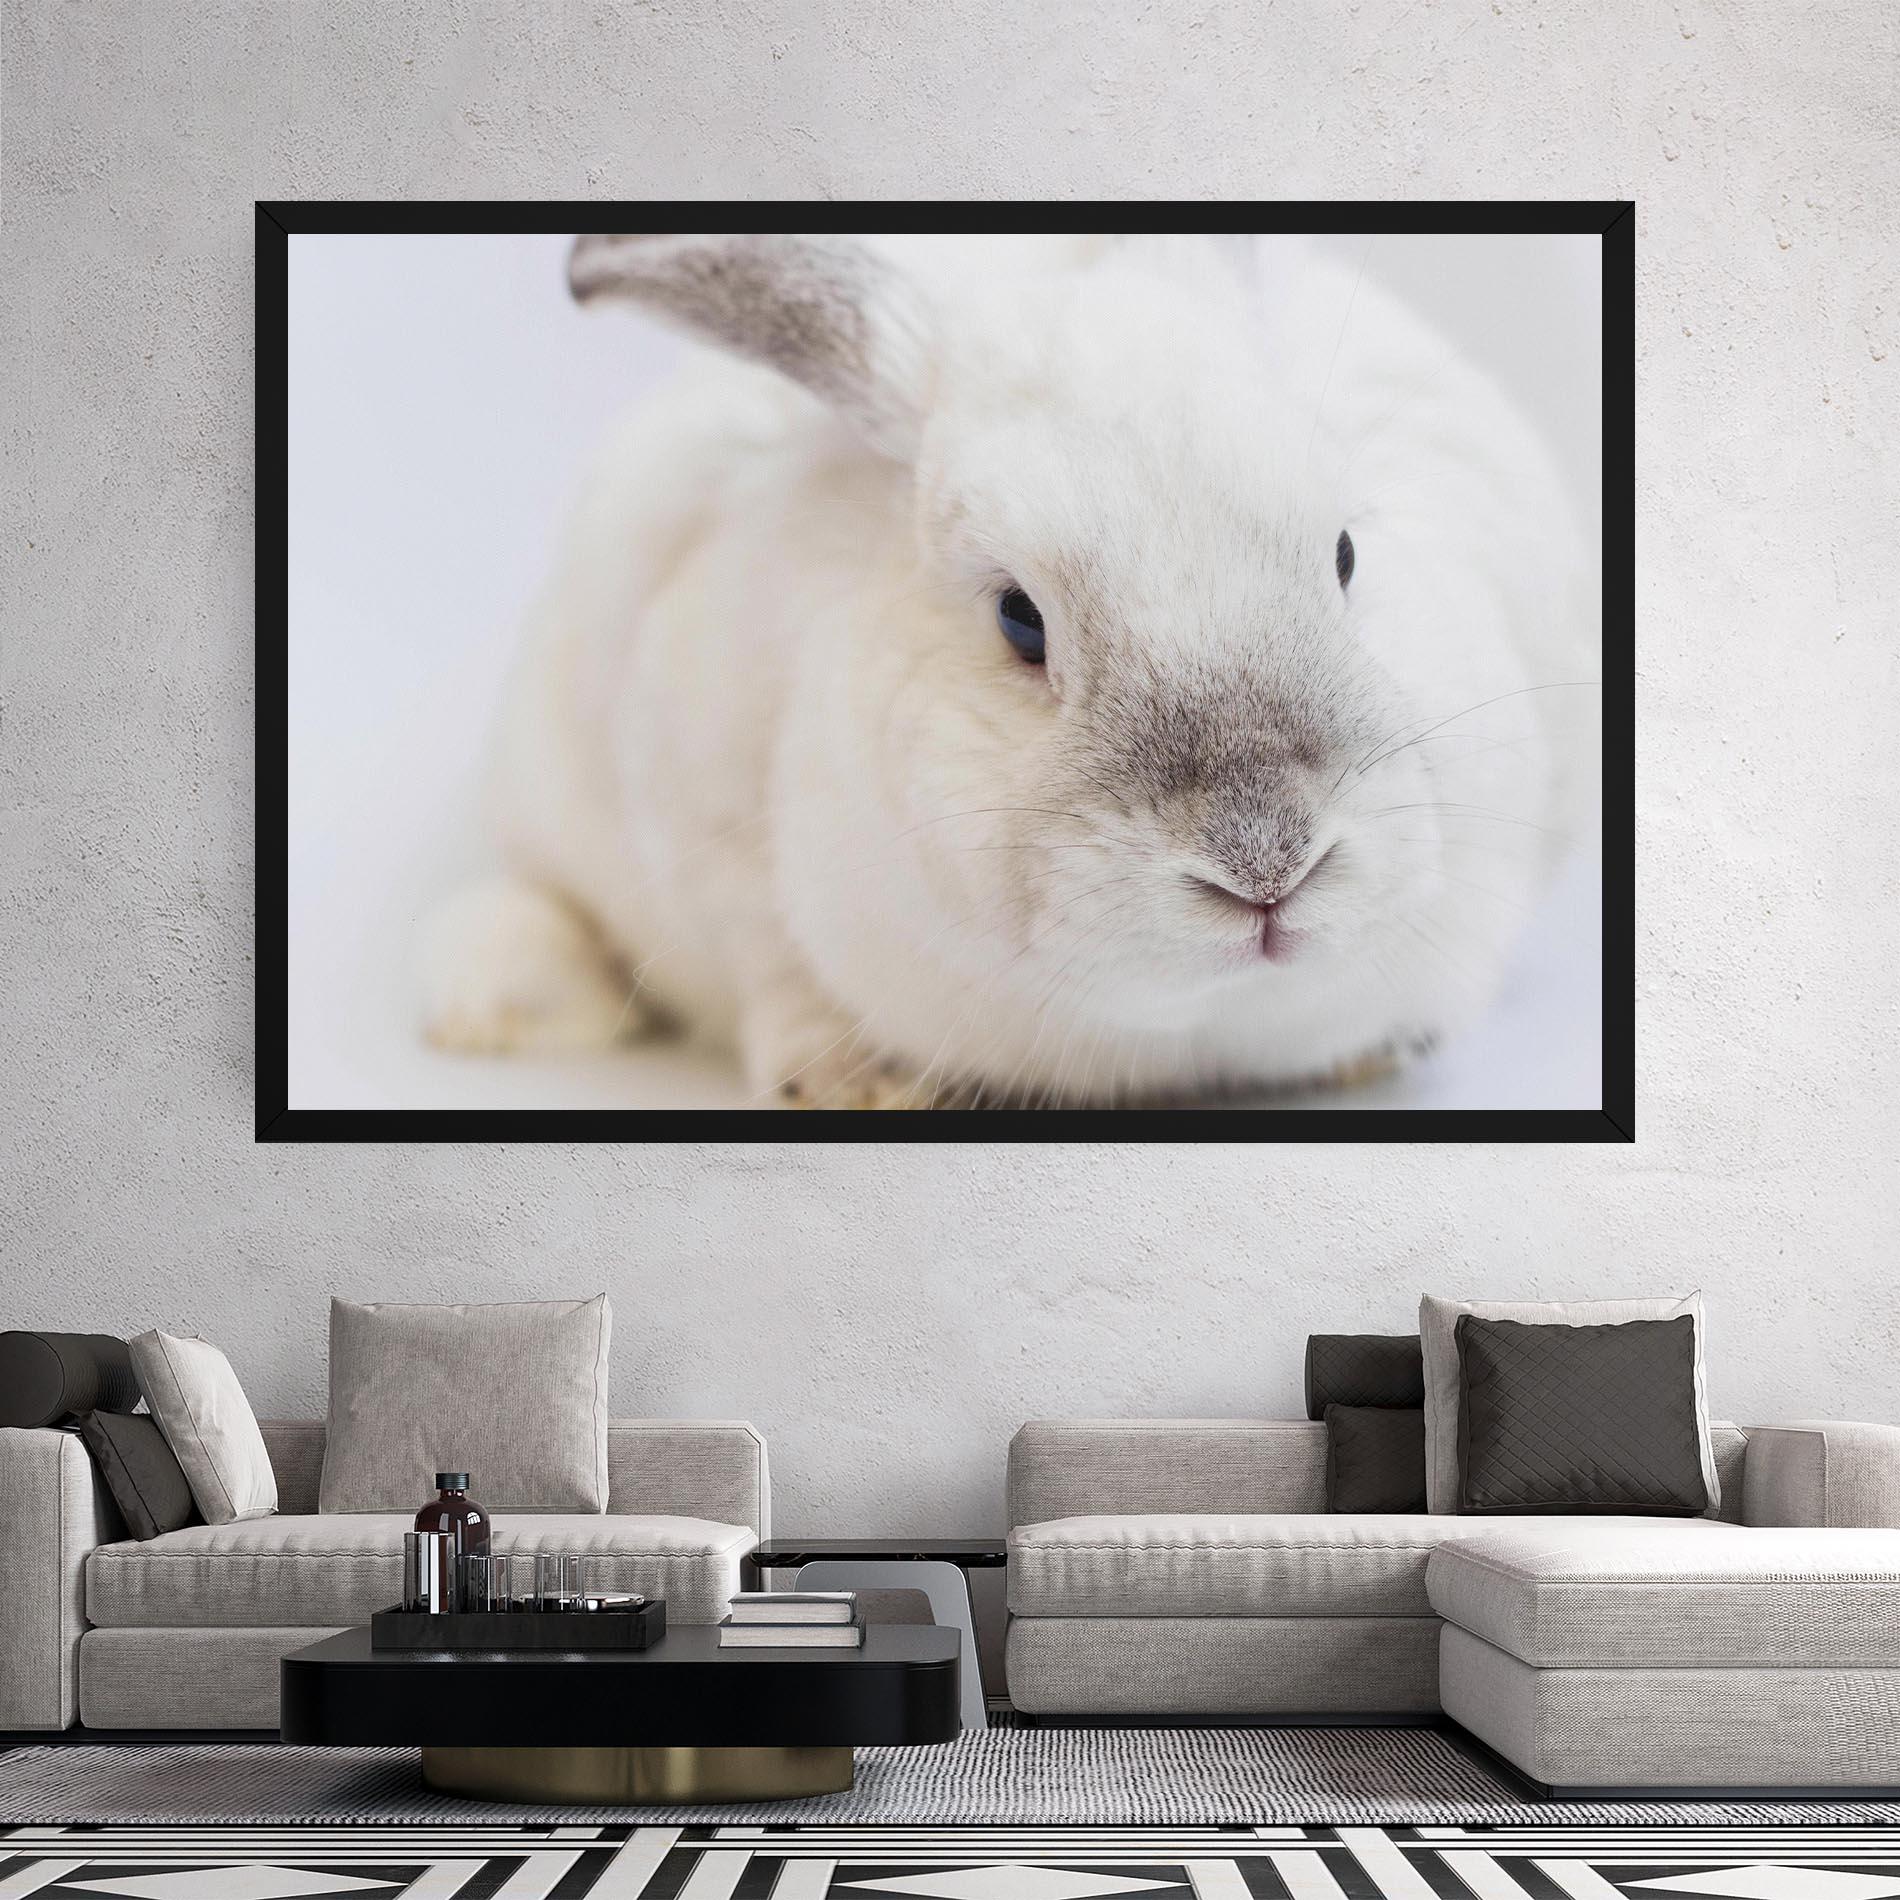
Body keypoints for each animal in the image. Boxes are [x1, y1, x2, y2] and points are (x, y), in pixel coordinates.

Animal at [418, 232, 1599, 1108]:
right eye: (1019, 619)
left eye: (1347, 553)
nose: (1266, 864)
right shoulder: (706, 831)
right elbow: (774, 970)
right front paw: (856, 1081)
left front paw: (1372, 1051)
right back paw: (489, 1008)